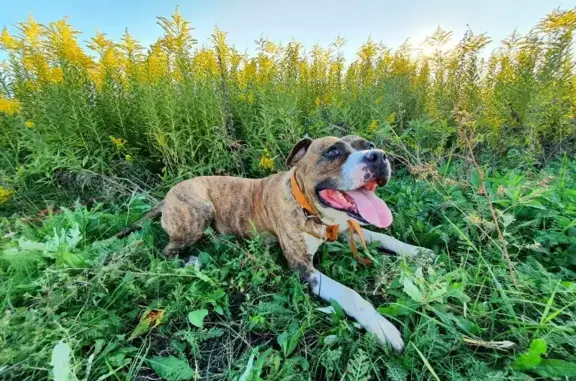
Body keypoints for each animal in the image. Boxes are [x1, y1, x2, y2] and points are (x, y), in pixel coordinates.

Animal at [117, 134, 432, 350]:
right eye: (332, 151)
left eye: (368, 144)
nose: (378, 156)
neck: (312, 210)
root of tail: (168, 194)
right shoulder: (304, 269)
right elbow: (351, 294)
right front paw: (382, 327)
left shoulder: (346, 228)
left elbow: (384, 235)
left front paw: (417, 251)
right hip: (198, 211)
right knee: (167, 250)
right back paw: (191, 260)